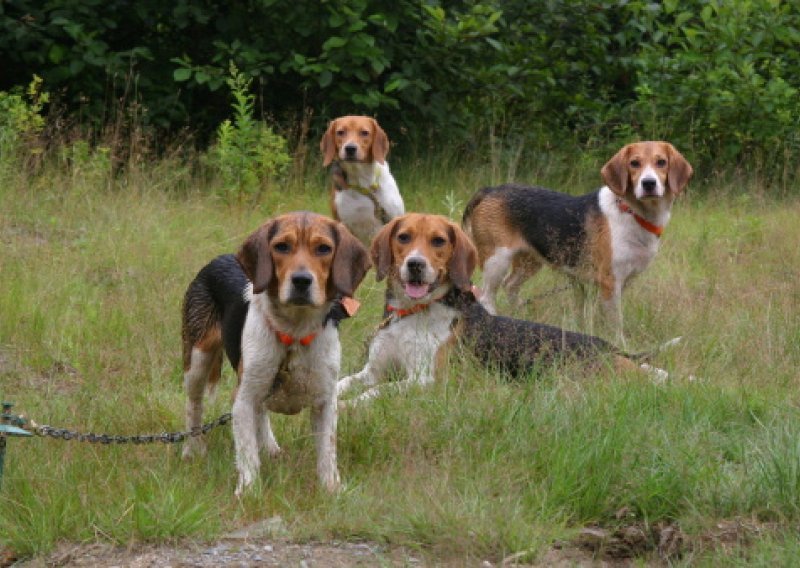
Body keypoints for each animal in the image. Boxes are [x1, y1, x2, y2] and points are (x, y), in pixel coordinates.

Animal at [180, 211, 368, 494]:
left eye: (324, 248)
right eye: (282, 246)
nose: (301, 280)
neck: (295, 332)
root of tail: (219, 258)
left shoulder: (325, 399)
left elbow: (327, 450)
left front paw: (331, 488)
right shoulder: (243, 397)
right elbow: (247, 451)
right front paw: (248, 490)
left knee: (262, 412)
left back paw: (270, 448)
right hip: (198, 358)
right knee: (194, 405)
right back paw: (193, 449)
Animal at [334, 213, 680, 404]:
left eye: (438, 241)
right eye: (403, 237)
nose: (415, 265)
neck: (413, 313)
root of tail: (608, 346)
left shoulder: (427, 380)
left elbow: (376, 393)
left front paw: (351, 406)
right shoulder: (371, 371)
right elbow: (342, 384)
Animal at [462, 142, 692, 346]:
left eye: (661, 162)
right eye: (634, 163)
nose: (648, 183)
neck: (632, 212)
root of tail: (490, 189)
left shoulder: (619, 283)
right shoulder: (610, 282)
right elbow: (616, 322)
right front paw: (620, 345)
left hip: (530, 261)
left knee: (510, 285)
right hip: (496, 260)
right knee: (487, 296)